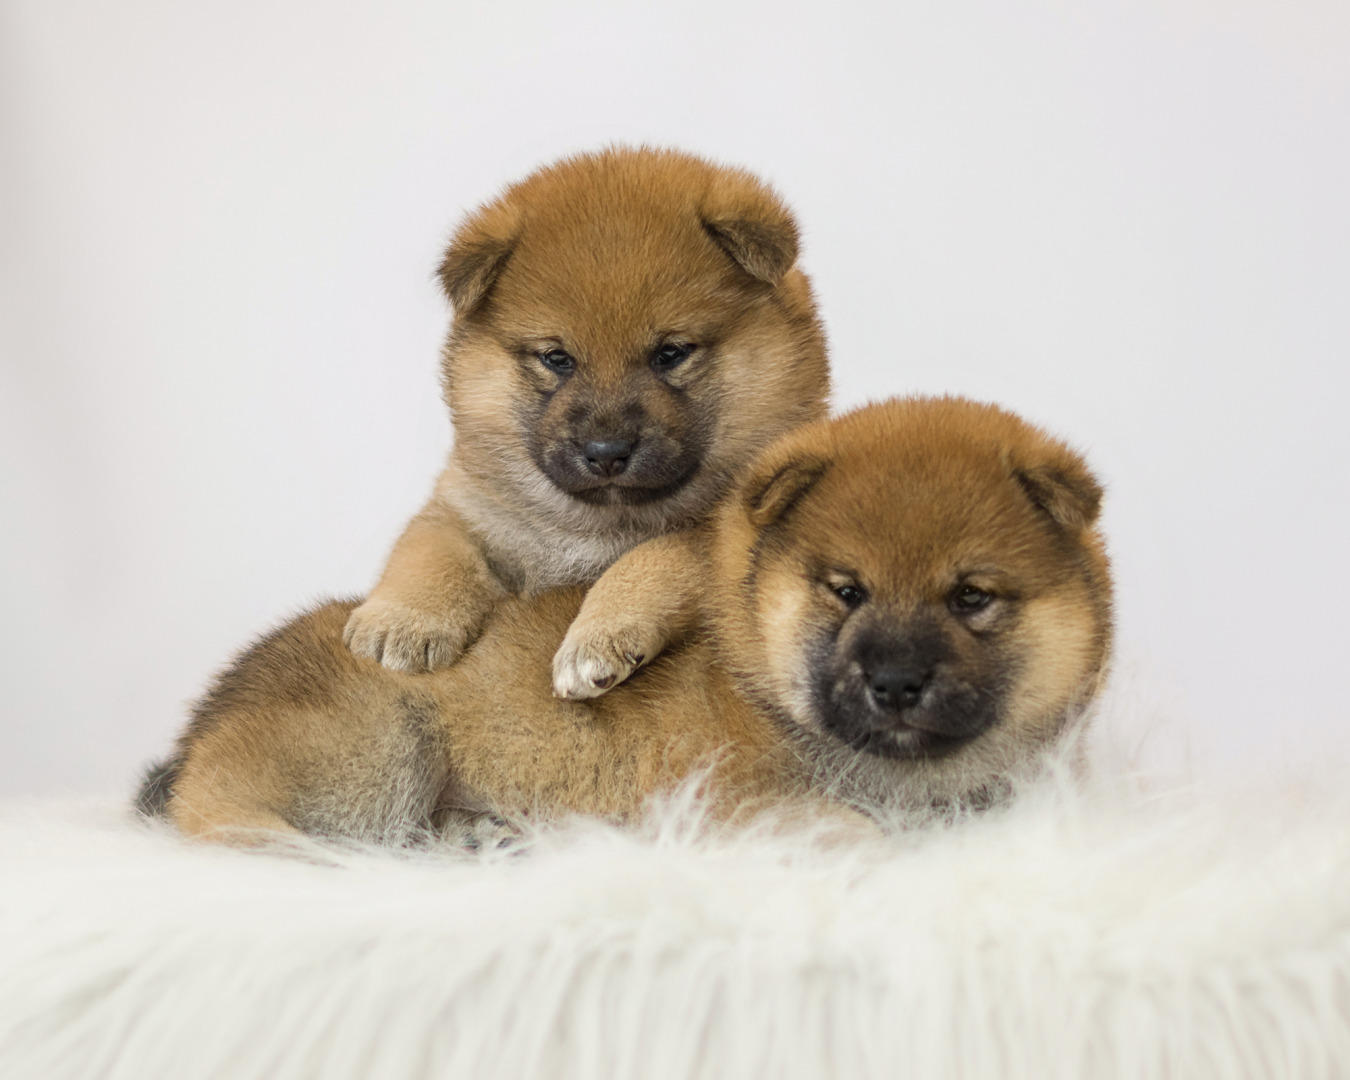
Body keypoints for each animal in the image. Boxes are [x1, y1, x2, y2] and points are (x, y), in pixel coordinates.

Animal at [137, 399, 1112, 842]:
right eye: (847, 591)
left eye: (971, 598)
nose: (897, 681)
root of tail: (203, 722)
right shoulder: (730, 798)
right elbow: (846, 828)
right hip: (375, 757)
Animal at [342, 147, 826, 669]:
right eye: (557, 358)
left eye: (671, 353)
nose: (607, 452)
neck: (592, 528)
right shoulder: (464, 510)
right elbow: (430, 550)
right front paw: (403, 620)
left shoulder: (719, 539)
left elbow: (655, 557)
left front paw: (600, 634)